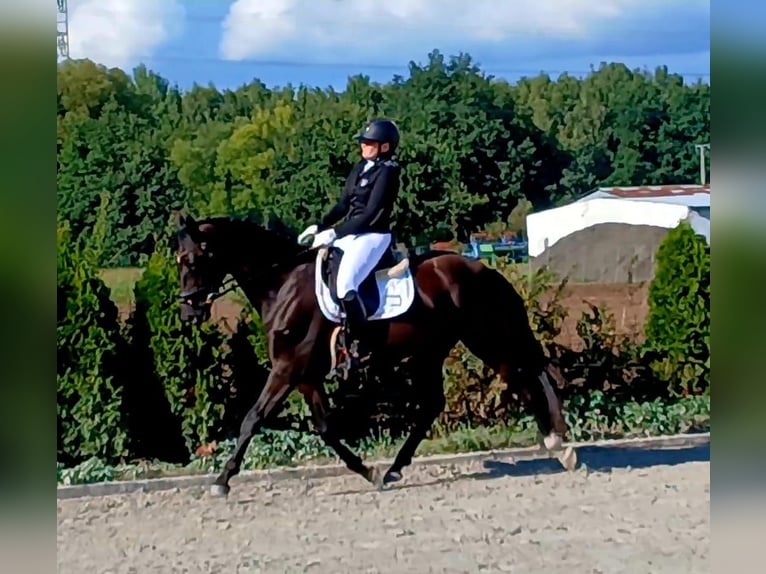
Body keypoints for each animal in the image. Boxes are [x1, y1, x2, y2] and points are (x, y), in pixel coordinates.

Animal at [175, 213, 576, 496]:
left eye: (192, 260)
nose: (188, 312)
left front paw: (222, 480)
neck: (282, 283)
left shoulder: (288, 370)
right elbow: (325, 427)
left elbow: (252, 419)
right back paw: (396, 467)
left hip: (486, 337)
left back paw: (559, 444)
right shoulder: (306, 376)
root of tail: (484, 269)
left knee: (526, 375)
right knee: (442, 400)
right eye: (178, 261)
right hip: (433, 350)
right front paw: (368, 471)